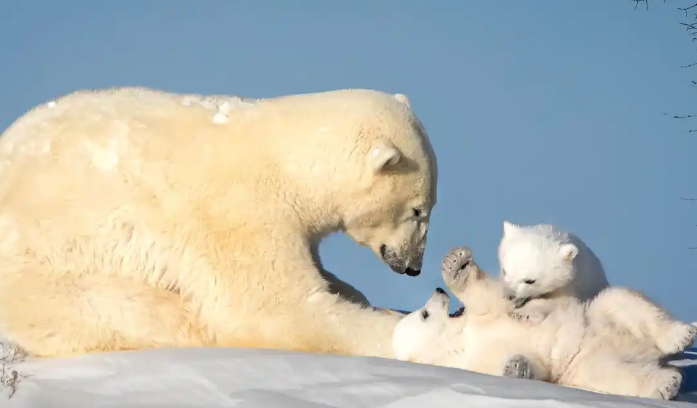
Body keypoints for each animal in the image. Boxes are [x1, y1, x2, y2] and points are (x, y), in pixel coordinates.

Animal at [0, 86, 437, 358]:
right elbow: (279, 310)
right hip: (49, 267)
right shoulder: (237, 215)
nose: (413, 267)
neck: (288, 165)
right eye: (418, 210)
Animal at [393, 246, 695, 400]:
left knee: (626, 302)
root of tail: (645, 355)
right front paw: (516, 366)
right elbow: (532, 367)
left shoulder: (486, 317)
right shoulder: (474, 363)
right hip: (589, 367)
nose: (438, 292)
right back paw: (665, 384)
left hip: (598, 317)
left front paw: (454, 263)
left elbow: (489, 297)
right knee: (617, 375)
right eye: (424, 314)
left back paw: (681, 334)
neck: (458, 342)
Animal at [497, 221, 696, 355]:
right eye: (505, 271)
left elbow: (555, 304)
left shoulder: (574, 287)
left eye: (530, 280)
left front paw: (523, 313)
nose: (509, 296)